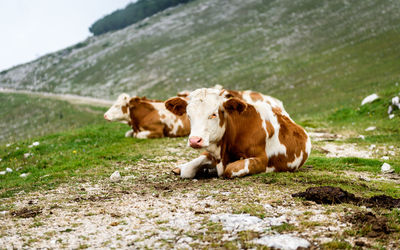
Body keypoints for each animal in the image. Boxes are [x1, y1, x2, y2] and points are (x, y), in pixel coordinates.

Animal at [164, 88, 310, 178]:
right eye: (188, 115)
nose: (195, 140)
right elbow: (187, 170)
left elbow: (231, 169)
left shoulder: (261, 159)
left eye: (213, 114)